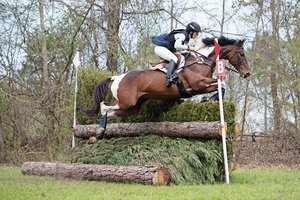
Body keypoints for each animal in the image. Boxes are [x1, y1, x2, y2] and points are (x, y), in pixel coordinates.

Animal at [86, 35, 251, 144]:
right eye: (242, 54)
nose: (247, 73)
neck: (201, 60)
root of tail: (117, 77)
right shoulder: (197, 85)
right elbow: (221, 84)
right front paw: (210, 99)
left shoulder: (199, 87)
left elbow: (220, 85)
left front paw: (209, 98)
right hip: (126, 102)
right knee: (103, 106)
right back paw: (98, 133)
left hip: (132, 107)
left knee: (109, 112)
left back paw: (97, 135)